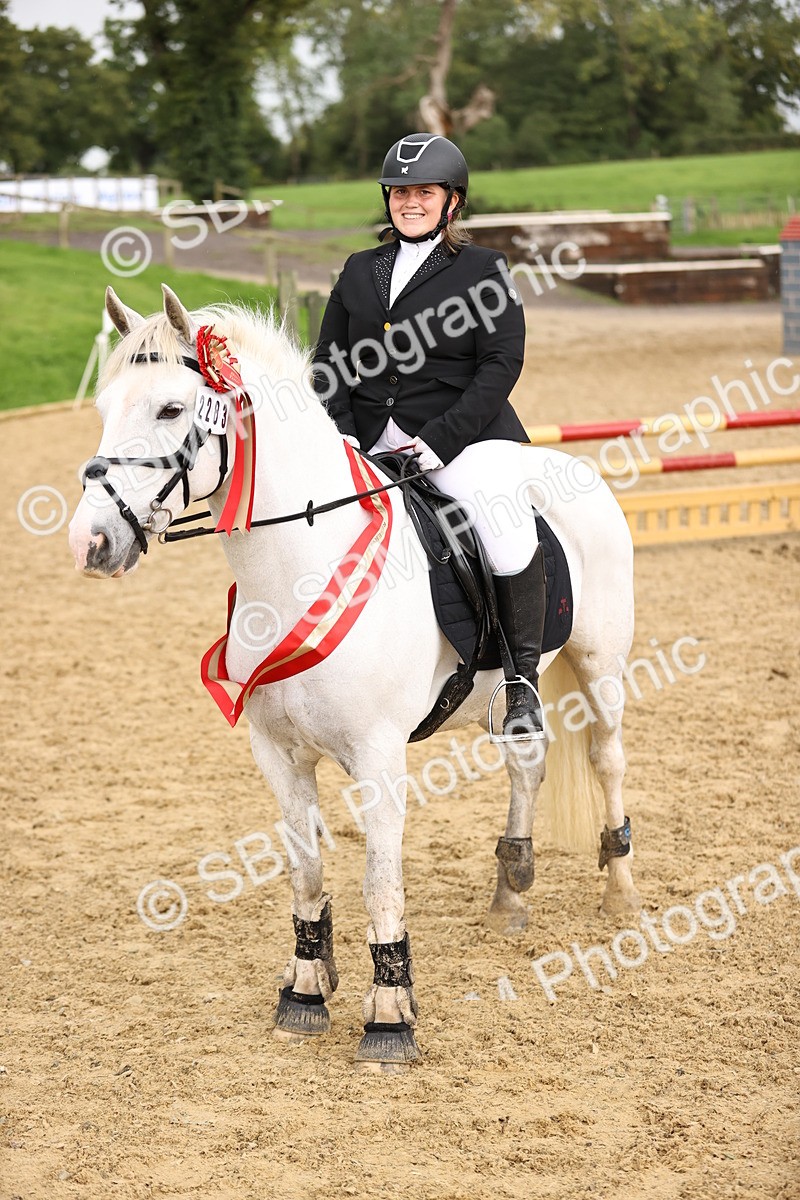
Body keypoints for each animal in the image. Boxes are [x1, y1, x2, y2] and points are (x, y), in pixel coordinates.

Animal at [68, 283, 640, 1071]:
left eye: (171, 410)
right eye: (104, 406)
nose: (91, 542)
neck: (299, 563)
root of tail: (572, 468)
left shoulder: (377, 755)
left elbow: (379, 881)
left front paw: (391, 1016)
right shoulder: (277, 754)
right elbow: (306, 867)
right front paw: (307, 990)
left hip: (600, 665)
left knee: (607, 758)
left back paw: (619, 891)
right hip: (505, 694)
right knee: (528, 760)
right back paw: (511, 892)